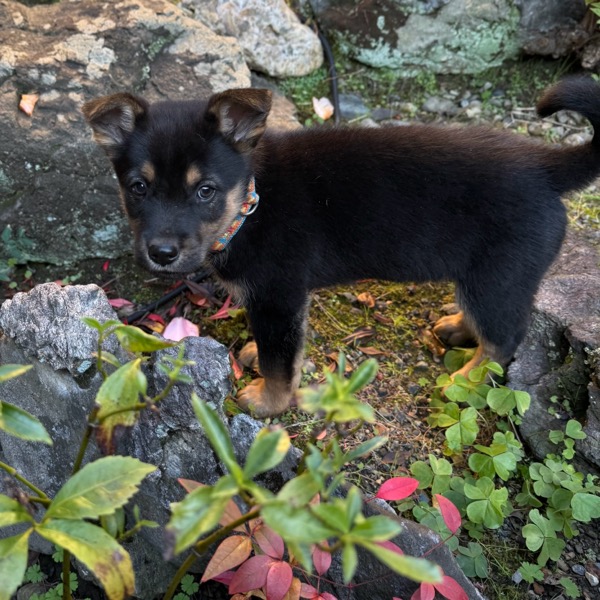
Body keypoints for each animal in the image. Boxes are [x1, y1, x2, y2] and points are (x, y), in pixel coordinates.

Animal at [83, 77, 600, 417]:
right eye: (138, 188)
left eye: (205, 190)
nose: (161, 253)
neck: (248, 205)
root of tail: (543, 167)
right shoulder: (277, 304)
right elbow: (275, 348)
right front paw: (250, 353)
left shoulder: (278, 297)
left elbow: (279, 361)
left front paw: (268, 403)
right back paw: (457, 327)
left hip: (496, 276)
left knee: (504, 339)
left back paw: (464, 379)